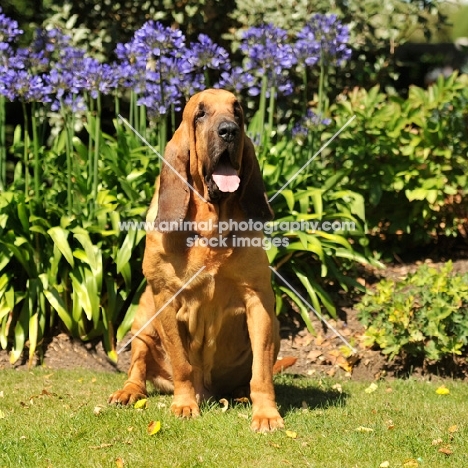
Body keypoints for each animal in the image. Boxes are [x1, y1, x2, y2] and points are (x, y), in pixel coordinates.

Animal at [109, 88, 286, 432]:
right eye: (200, 114)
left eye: (238, 111)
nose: (229, 130)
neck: (210, 227)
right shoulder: (165, 299)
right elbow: (181, 363)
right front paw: (184, 405)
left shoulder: (259, 301)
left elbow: (261, 371)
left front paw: (267, 414)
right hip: (142, 322)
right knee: (138, 367)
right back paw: (129, 392)